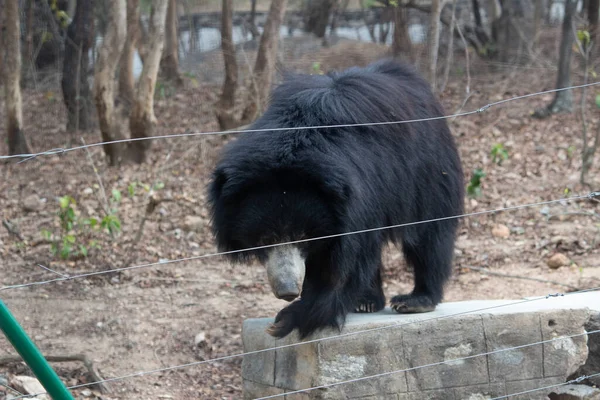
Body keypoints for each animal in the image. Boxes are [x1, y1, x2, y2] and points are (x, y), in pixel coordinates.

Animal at [209, 59, 466, 340]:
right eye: (264, 239)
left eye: (303, 237)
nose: (287, 291)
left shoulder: (356, 202)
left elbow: (345, 266)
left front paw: (289, 317)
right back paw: (367, 302)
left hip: (428, 172)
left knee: (429, 234)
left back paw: (416, 300)